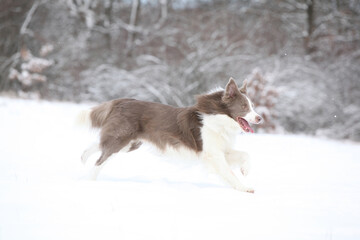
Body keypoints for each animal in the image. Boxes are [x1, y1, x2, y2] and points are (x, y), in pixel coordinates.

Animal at [79, 78, 262, 194]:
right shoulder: (212, 154)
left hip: (129, 144)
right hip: (122, 139)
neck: (218, 118)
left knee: (100, 146)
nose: (260, 118)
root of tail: (123, 101)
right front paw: (244, 188)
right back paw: (90, 183)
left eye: (252, 106)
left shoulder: (219, 149)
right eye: (244, 106)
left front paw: (245, 170)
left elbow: (245, 154)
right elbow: (228, 172)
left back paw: (83, 158)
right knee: (100, 160)